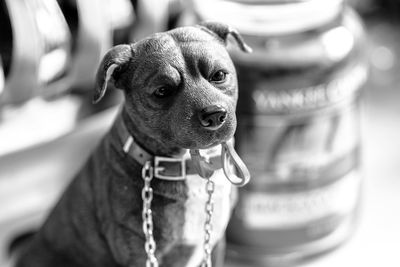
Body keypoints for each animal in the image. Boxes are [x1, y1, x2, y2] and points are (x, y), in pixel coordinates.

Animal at [15, 22, 252, 266]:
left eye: (219, 75)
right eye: (162, 91)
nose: (214, 115)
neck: (187, 166)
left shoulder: (215, 243)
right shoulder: (140, 254)